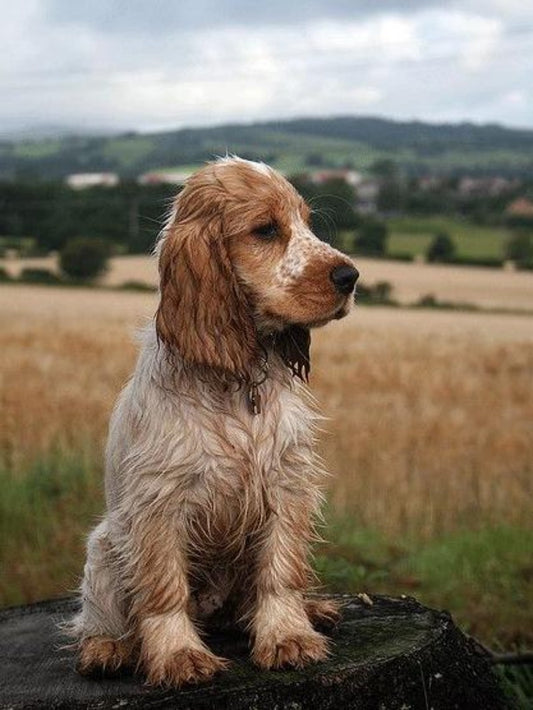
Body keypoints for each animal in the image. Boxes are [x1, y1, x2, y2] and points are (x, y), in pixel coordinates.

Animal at [69, 157, 358, 688]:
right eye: (266, 229)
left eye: (307, 222)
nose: (351, 276)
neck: (237, 380)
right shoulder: (159, 502)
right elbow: (164, 590)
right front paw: (178, 655)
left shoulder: (286, 484)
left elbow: (280, 572)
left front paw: (289, 636)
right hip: (103, 548)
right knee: (99, 616)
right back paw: (106, 649)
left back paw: (316, 609)